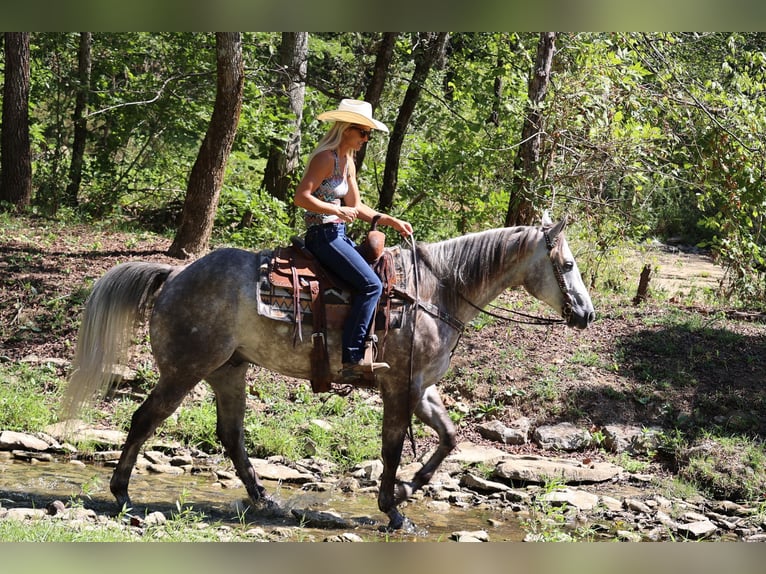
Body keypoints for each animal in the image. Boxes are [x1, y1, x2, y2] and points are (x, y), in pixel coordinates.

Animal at [61, 214, 595, 531]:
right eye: (567, 264)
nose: (586, 314)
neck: (436, 291)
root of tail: (174, 276)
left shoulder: (421, 388)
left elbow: (449, 438)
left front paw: (407, 489)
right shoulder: (398, 387)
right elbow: (393, 446)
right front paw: (393, 508)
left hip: (228, 371)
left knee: (231, 435)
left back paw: (263, 500)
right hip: (183, 371)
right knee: (144, 420)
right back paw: (122, 493)